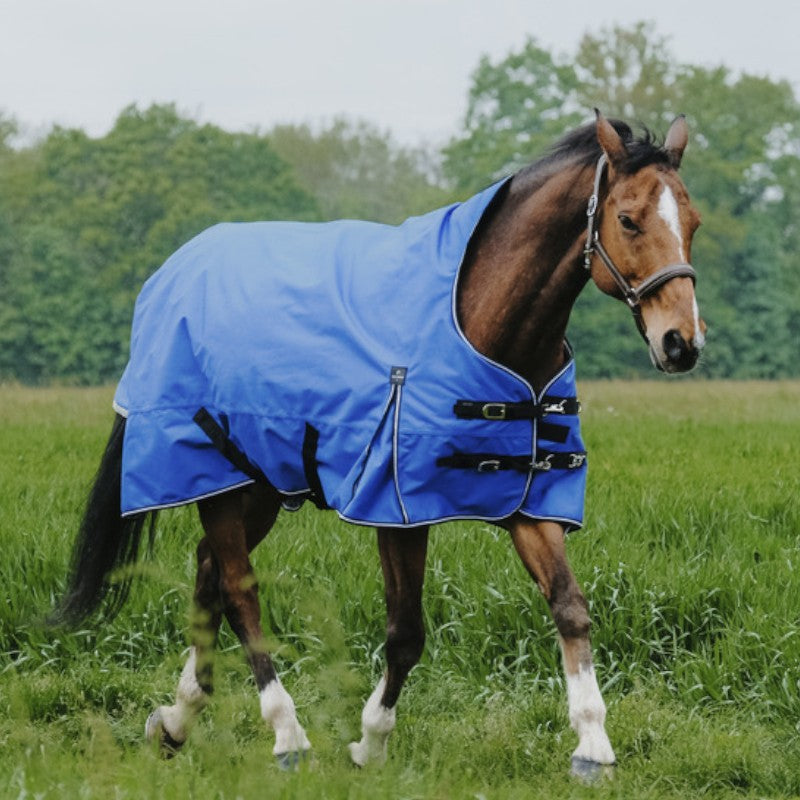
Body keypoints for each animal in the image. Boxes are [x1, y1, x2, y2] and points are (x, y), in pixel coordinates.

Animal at [52, 111, 704, 780]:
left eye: (693, 222)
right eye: (628, 219)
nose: (681, 342)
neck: (484, 323)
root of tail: (173, 273)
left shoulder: (526, 498)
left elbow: (570, 606)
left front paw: (592, 745)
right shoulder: (398, 508)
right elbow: (406, 631)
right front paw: (371, 741)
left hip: (257, 483)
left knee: (209, 573)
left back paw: (177, 721)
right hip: (216, 479)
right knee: (237, 591)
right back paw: (286, 734)